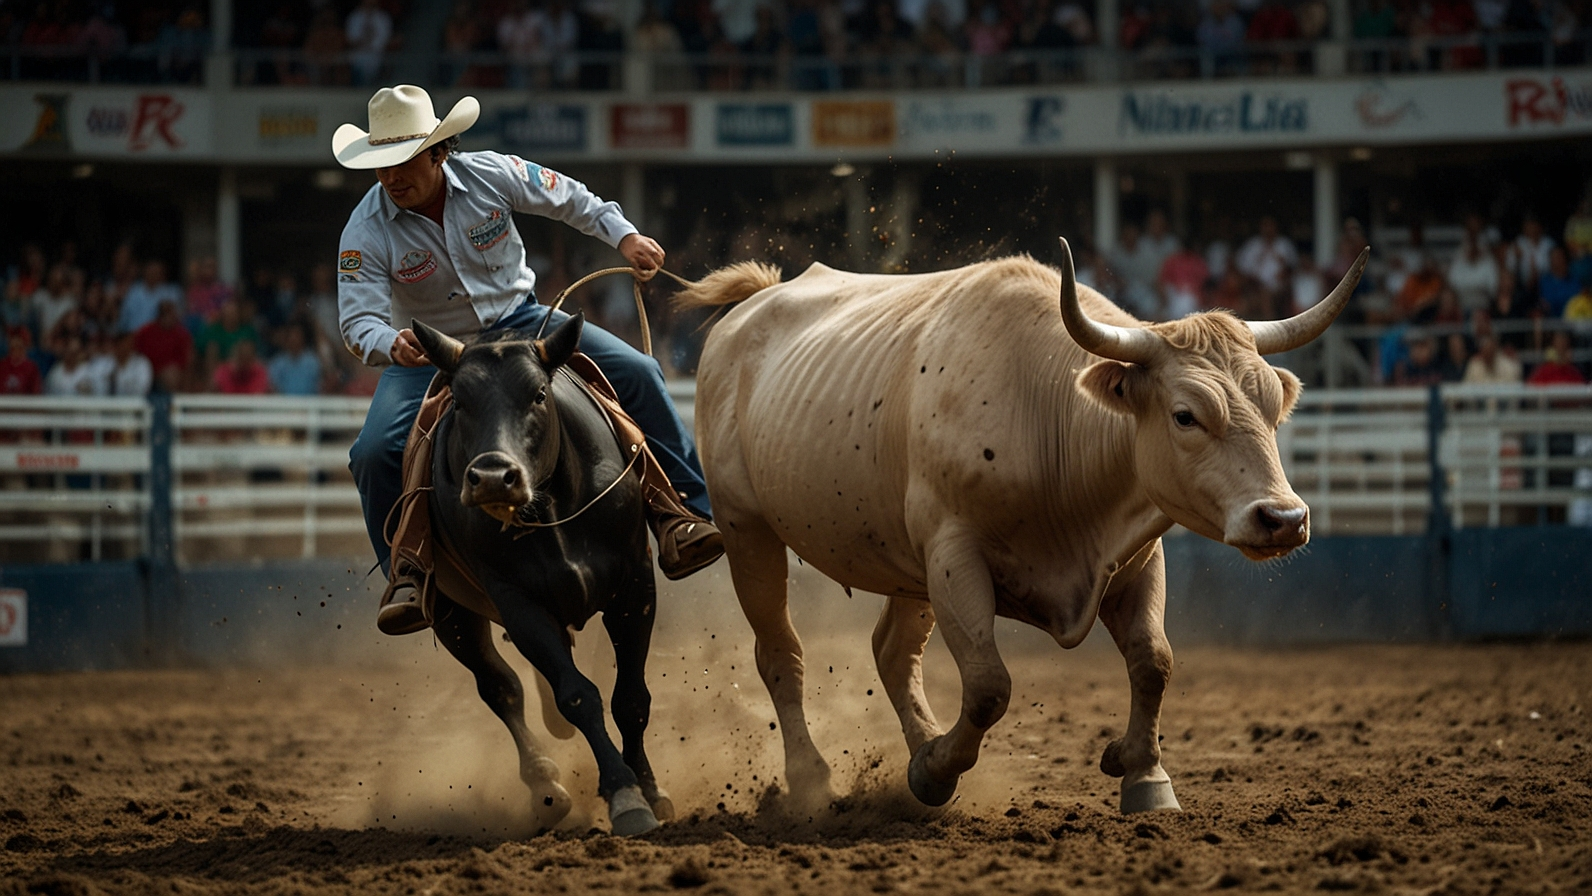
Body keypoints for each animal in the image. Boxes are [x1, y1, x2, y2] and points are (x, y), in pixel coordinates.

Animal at [681, 238, 1369, 814]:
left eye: (1275, 406)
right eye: (1185, 415)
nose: (1282, 518)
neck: (1047, 416)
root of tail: (745, 313)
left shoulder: (1135, 558)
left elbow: (1154, 661)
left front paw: (1144, 775)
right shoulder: (953, 556)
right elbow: (989, 685)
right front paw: (936, 771)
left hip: (905, 565)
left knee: (891, 651)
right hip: (748, 531)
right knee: (781, 653)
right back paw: (812, 780)